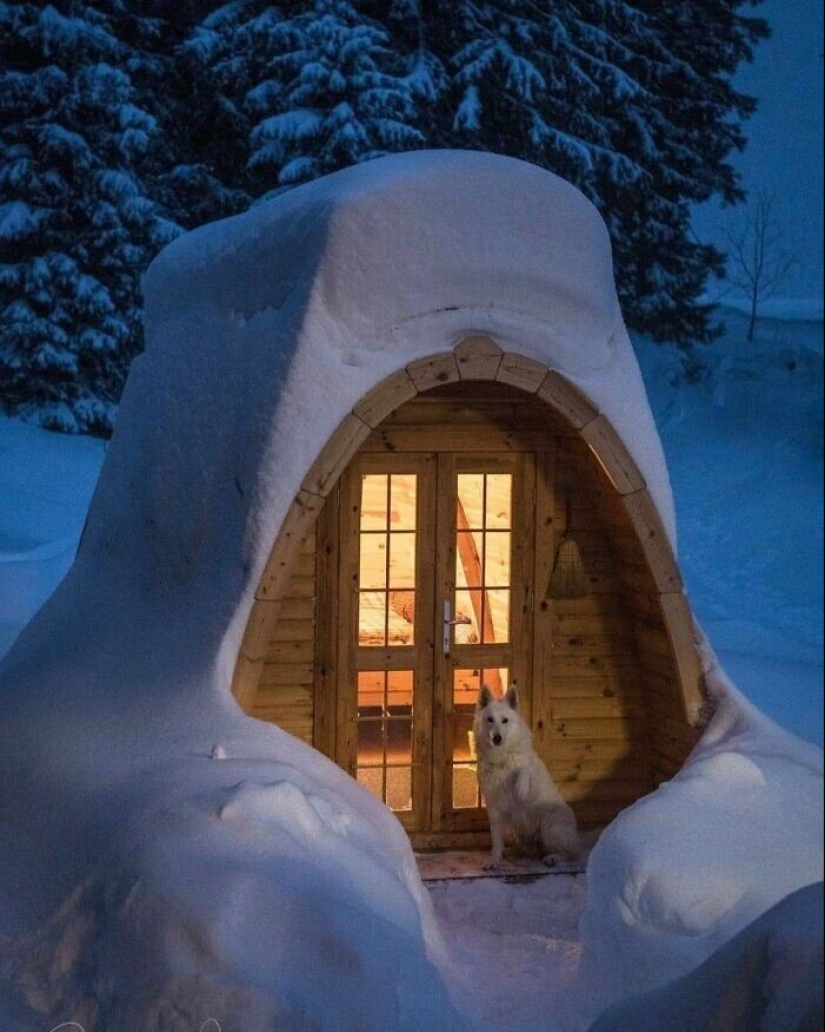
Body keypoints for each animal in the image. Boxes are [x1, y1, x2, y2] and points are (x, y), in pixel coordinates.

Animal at [474, 685, 582, 871]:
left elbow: (524, 770)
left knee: (571, 853)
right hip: (515, 831)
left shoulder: (528, 769)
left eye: (505, 720)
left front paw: (520, 788)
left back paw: (553, 858)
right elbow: (496, 842)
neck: (501, 759)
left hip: (550, 826)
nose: (497, 738)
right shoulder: (495, 811)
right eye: (490, 720)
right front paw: (494, 861)